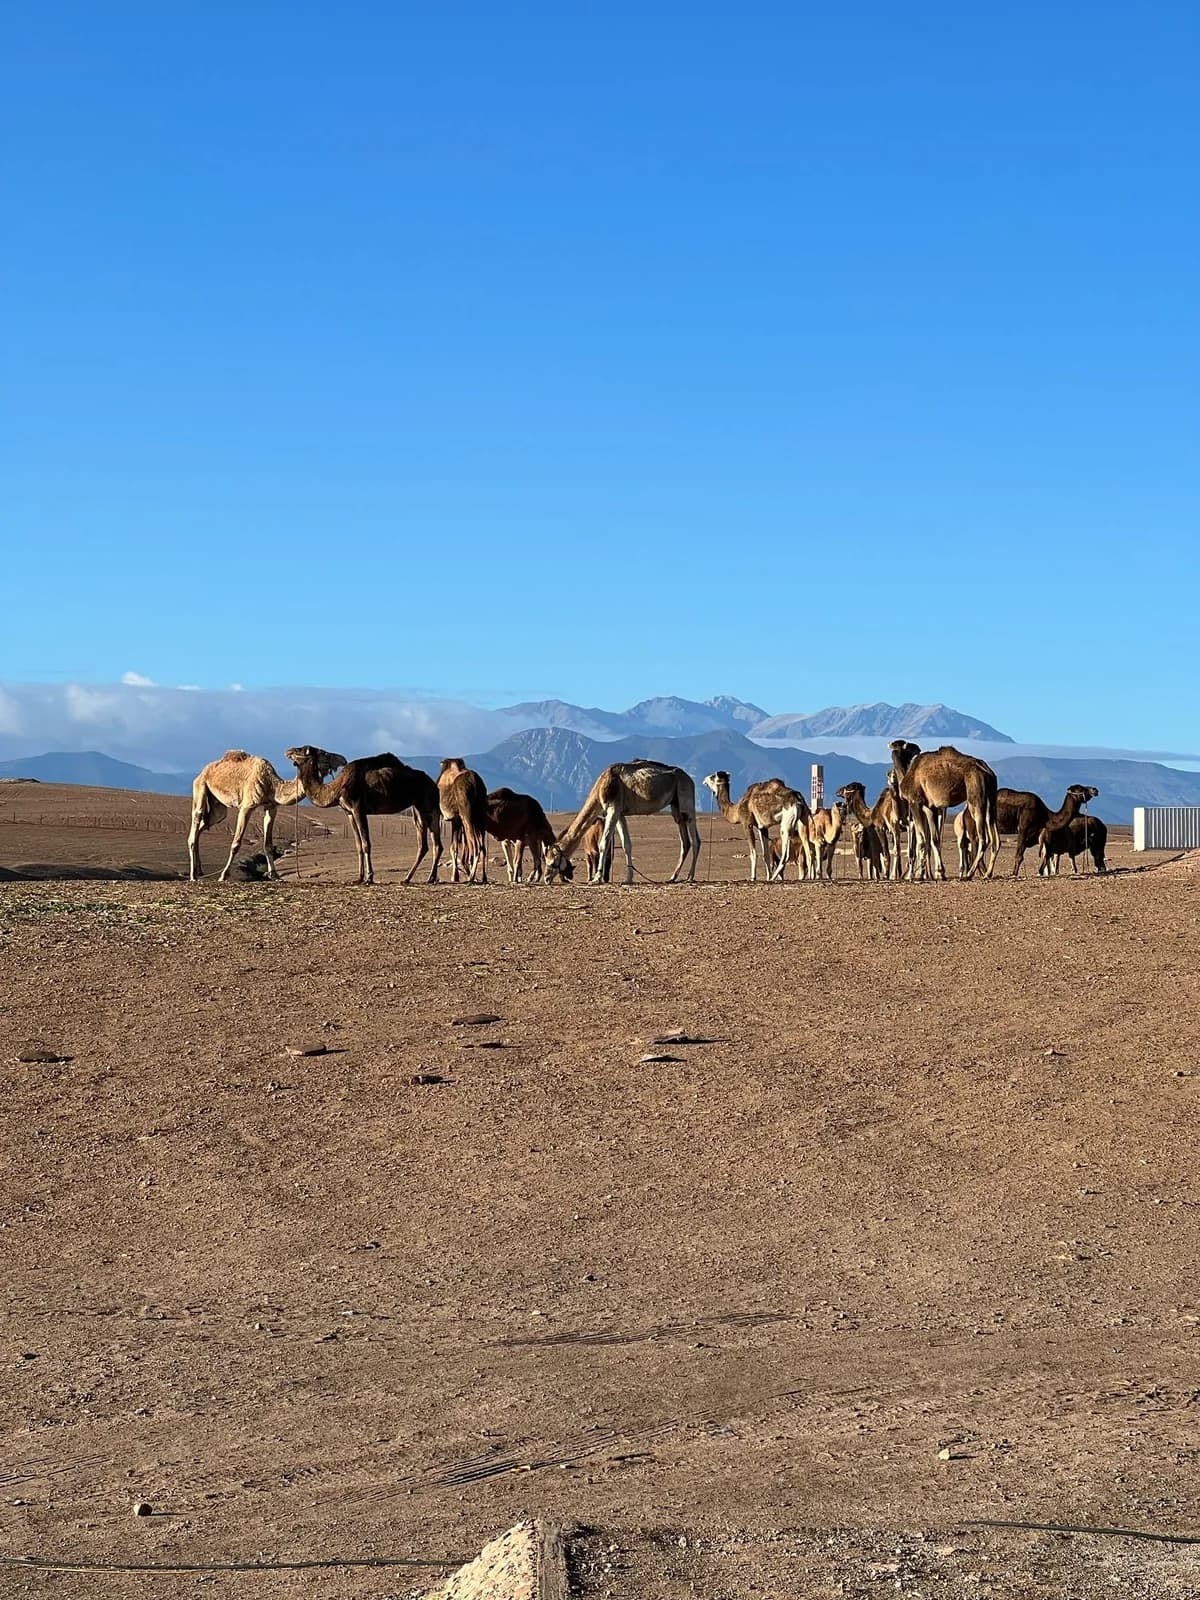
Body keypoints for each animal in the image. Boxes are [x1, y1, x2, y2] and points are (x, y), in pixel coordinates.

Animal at [188, 747, 345, 883]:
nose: (343, 759)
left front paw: (275, 875)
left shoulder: (271, 807)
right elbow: (236, 843)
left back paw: (199, 871)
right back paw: (193, 876)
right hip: (201, 788)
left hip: (218, 809)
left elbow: (268, 844)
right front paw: (223, 875)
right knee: (195, 825)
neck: (272, 785)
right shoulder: (246, 806)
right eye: (324, 753)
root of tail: (202, 772)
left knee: (206, 824)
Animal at [285, 746, 443, 885]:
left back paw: (417, 878)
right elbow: (358, 845)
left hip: (427, 804)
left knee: (429, 844)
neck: (337, 788)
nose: (288, 750)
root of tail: (434, 784)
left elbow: (366, 844)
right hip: (418, 807)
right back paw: (424, 878)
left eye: (302, 749)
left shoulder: (358, 808)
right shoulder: (349, 813)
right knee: (433, 844)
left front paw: (369, 877)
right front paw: (359, 877)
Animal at [544, 761, 701, 885]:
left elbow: (604, 842)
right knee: (685, 841)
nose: (546, 878)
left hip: (686, 799)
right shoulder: (620, 813)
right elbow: (627, 844)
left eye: (552, 862)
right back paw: (673, 877)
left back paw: (690, 877)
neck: (601, 788)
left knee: (695, 840)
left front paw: (596, 879)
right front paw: (628, 879)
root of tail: (690, 779)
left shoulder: (613, 808)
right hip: (676, 807)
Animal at [889, 740, 1000, 880]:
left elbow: (921, 840)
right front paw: (939, 873)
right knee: (995, 838)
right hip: (991, 799)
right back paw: (987, 874)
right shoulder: (930, 807)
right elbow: (934, 839)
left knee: (983, 839)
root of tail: (988, 771)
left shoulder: (915, 801)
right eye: (908, 746)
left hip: (976, 794)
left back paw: (968, 874)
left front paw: (919, 875)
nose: (917, 748)